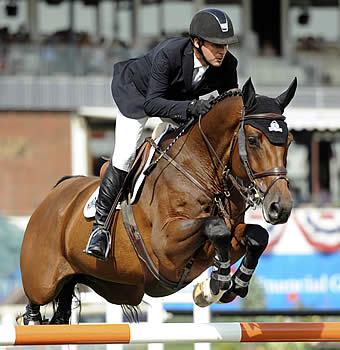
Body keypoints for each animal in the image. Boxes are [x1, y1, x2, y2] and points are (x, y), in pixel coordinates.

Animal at [19, 78, 294, 324]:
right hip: (41, 282)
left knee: (60, 317)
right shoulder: (167, 245)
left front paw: (230, 285)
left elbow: (256, 236)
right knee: (33, 307)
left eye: (289, 142)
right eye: (253, 140)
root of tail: (55, 194)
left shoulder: (223, 237)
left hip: (95, 281)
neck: (201, 169)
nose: (280, 207)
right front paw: (216, 284)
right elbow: (216, 227)